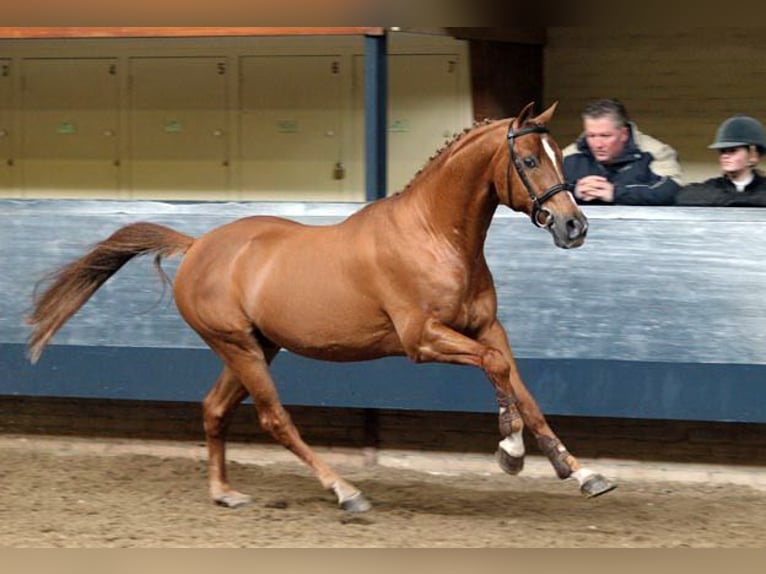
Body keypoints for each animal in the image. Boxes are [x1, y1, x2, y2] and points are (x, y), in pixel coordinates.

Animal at [27, 102, 616, 512]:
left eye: (561, 155)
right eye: (528, 159)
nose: (574, 226)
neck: (434, 236)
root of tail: (196, 247)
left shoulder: (487, 328)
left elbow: (522, 389)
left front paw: (581, 473)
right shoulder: (423, 339)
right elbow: (497, 374)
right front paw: (510, 452)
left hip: (257, 347)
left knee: (214, 409)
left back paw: (225, 493)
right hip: (239, 347)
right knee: (274, 419)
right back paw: (345, 491)